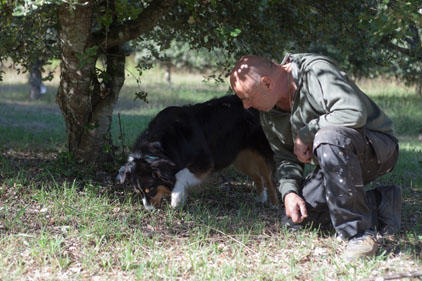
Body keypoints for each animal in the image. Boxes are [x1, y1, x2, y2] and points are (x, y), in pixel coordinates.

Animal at [117, 95, 278, 209]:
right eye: (138, 192)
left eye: (150, 189)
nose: (148, 210)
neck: (160, 146)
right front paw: (180, 199)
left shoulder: (205, 161)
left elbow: (180, 175)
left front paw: (176, 198)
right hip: (238, 158)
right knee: (257, 176)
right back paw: (260, 199)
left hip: (260, 151)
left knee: (268, 178)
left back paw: (273, 203)